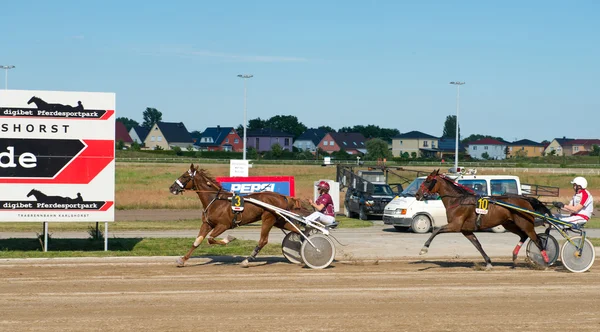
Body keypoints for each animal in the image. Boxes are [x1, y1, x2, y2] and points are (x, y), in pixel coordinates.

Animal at [169, 163, 310, 268]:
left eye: (184, 176)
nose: (171, 188)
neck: (216, 201)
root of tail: (283, 197)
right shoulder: (207, 224)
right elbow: (197, 241)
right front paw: (182, 260)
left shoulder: (223, 225)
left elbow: (211, 239)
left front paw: (229, 239)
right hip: (279, 220)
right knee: (297, 231)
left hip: (268, 218)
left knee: (263, 240)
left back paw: (247, 260)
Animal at [414, 170, 552, 268]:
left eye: (427, 181)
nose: (417, 194)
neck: (458, 201)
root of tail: (526, 199)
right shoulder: (466, 230)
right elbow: (477, 245)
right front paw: (488, 262)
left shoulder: (455, 225)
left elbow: (436, 231)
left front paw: (423, 249)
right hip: (510, 224)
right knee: (523, 236)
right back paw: (514, 256)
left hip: (525, 224)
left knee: (537, 240)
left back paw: (546, 261)